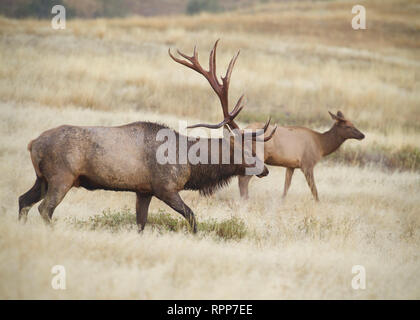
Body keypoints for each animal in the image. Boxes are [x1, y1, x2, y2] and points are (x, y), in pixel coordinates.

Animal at [18, 41, 278, 234]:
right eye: (247, 151)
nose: (265, 169)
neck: (191, 165)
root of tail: (33, 144)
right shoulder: (165, 187)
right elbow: (192, 218)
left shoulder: (143, 191)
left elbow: (141, 224)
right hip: (62, 176)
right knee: (44, 209)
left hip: (42, 178)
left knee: (23, 200)